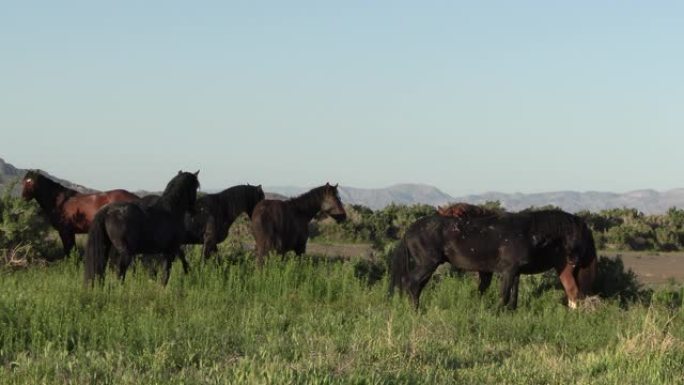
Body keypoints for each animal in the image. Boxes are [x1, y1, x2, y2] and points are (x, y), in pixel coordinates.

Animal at [390, 208, 600, 310]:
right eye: (573, 235)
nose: (574, 260)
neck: (529, 232)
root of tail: (408, 231)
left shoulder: (515, 272)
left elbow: (513, 296)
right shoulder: (507, 271)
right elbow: (504, 295)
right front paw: (497, 313)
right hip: (427, 264)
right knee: (411, 283)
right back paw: (415, 311)